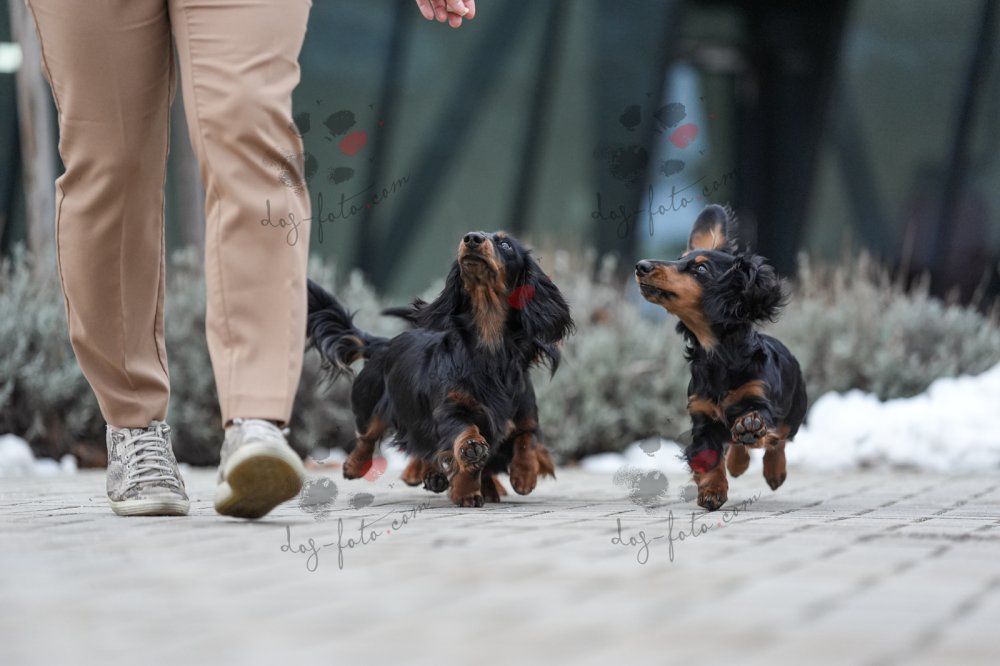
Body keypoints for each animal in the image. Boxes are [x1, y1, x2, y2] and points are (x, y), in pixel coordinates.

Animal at [307, 231, 573, 507]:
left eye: (506, 244)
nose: (472, 238)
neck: (490, 347)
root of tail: (384, 344)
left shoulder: (525, 416)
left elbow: (526, 440)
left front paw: (523, 475)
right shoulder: (450, 411)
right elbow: (465, 435)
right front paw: (468, 479)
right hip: (372, 402)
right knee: (367, 436)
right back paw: (356, 466)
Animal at [634, 205, 807, 511]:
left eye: (700, 268)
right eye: (679, 259)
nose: (641, 266)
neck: (719, 357)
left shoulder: (760, 401)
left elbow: (760, 427)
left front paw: (749, 428)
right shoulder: (702, 419)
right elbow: (709, 458)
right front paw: (712, 491)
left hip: (794, 413)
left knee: (777, 441)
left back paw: (774, 471)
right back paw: (738, 464)